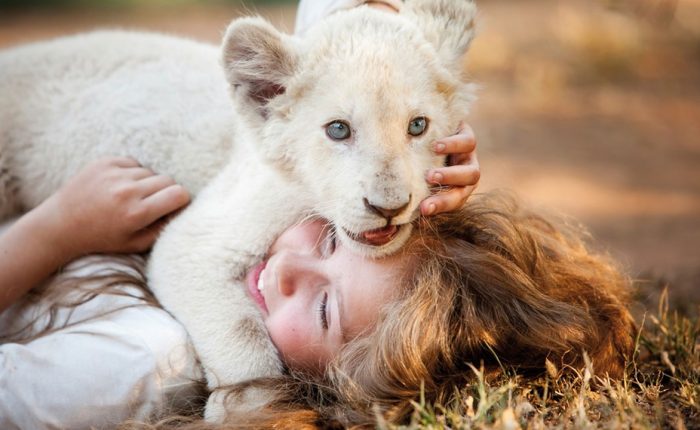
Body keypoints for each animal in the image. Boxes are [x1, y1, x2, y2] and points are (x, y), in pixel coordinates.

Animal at [0, 0, 478, 420]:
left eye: (418, 125)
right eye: (338, 129)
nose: (388, 207)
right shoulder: (196, 237)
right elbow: (241, 331)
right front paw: (249, 404)